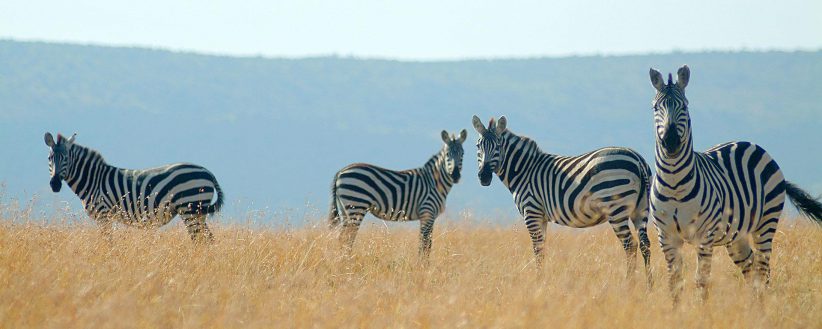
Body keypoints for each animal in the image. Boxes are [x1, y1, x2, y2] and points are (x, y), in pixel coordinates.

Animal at [44, 132, 225, 242]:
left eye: (66, 158)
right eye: (49, 158)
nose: (55, 184)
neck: (93, 180)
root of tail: (208, 172)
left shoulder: (103, 214)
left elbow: (108, 241)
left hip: (190, 208)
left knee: (201, 240)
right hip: (197, 212)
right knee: (207, 239)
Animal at [330, 129, 470, 258]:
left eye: (462, 154)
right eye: (447, 154)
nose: (455, 176)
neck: (435, 182)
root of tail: (340, 171)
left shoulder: (429, 216)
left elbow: (426, 243)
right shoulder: (427, 212)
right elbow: (425, 244)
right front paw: (422, 265)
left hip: (345, 209)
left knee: (342, 238)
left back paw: (343, 261)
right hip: (356, 206)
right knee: (348, 238)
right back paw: (347, 261)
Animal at [474, 114, 652, 284]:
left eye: (498, 146)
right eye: (478, 146)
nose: (484, 177)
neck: (524, 170)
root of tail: (638, 159)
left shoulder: (531, 212)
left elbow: (537, 249)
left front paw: (538, 281)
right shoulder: (542, 217)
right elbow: (542, 248)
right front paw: (542, 280)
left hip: (616, 208)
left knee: (630, 245)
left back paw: (629, 284)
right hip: (641, 209)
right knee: (645, 244)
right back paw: (649, 286)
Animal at [652, 64, 822, 302]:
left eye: (684, 107)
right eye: (656, 107)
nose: (670, 141)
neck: (674, 183)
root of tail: (750, 144)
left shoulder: (704, 237)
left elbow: (701, 281)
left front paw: (701, 311)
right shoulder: (666, 237)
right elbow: (675, 283)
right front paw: (676, 310)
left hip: (766, 223)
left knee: (763, 269)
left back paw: (760, 307)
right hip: (736, 236)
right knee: (751, 268)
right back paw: (753, 305)